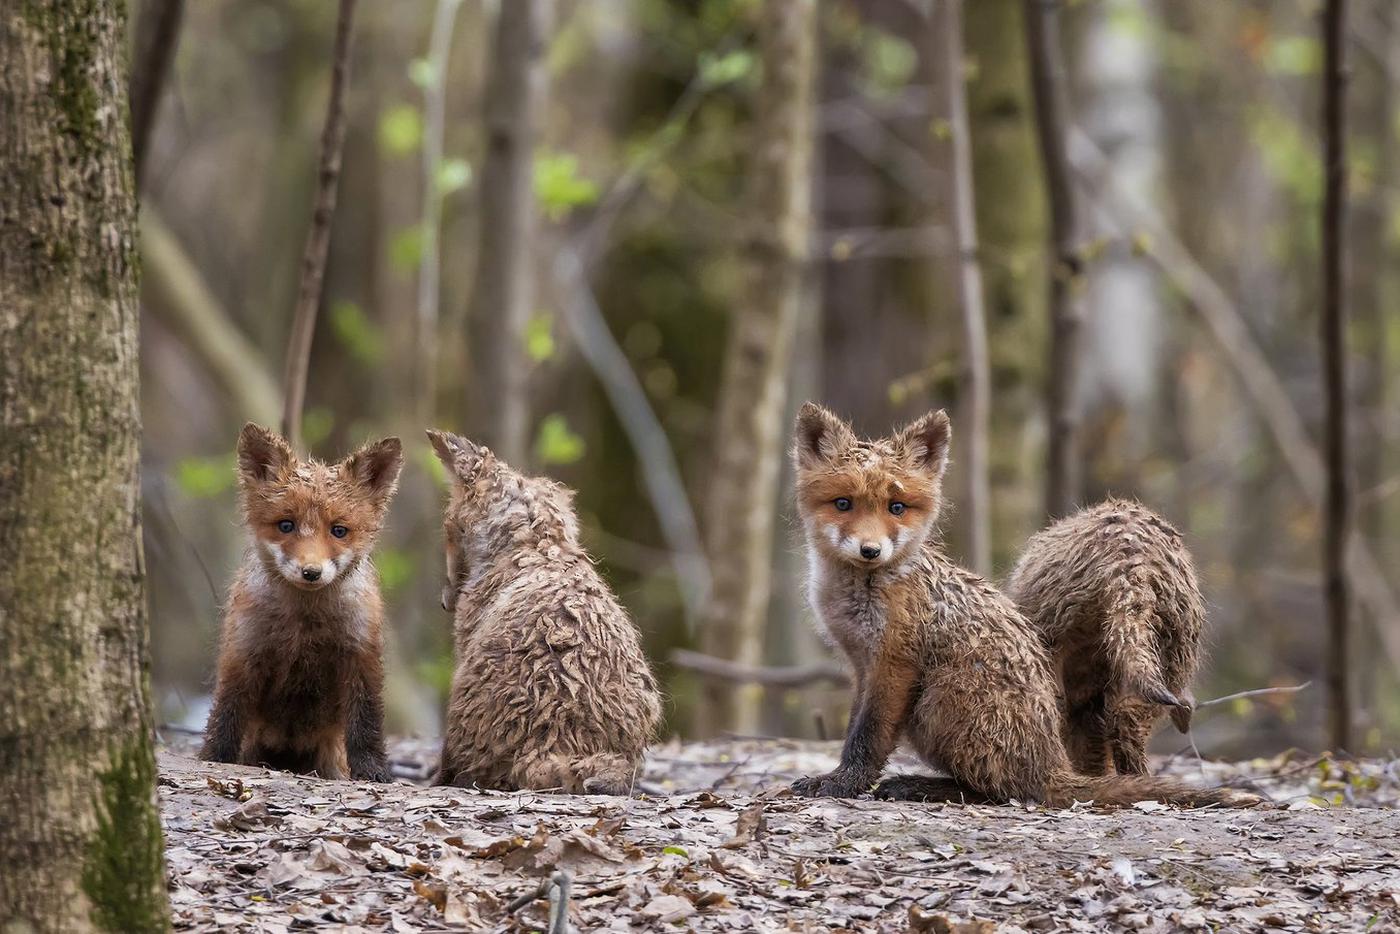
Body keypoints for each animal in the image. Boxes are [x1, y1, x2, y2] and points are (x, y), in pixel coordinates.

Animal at [199, 423, 403, 783]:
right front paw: (214, 758)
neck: (305, 623)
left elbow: (366, 723)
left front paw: (373, 770)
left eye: (339, 530)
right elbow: (227, 713)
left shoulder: (359, 653)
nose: (311, 572)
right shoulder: (245, 649)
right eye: (286, 525)